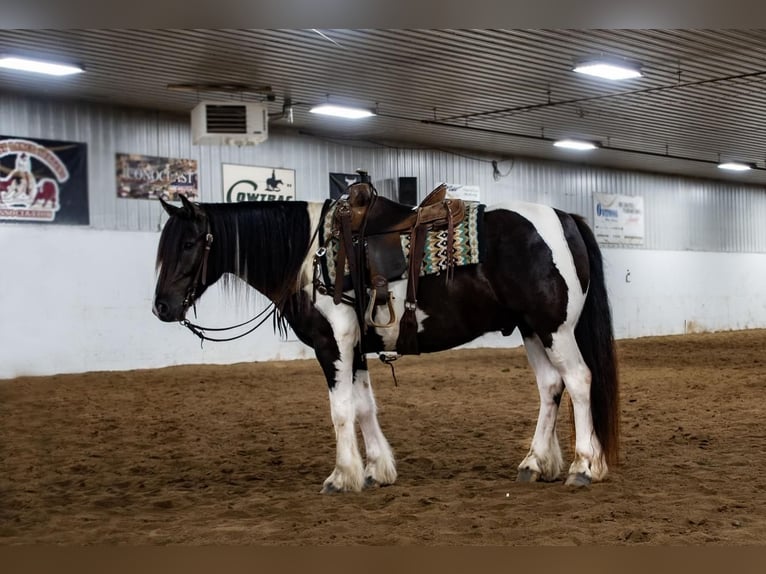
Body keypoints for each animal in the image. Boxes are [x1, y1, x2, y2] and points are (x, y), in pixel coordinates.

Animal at [153, 194, 620, 496]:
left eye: (189, 243)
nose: (162, 306)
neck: (312, 257)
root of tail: (564, 218)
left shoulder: (332, 345)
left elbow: (341, 410)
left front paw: (341, 477)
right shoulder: (356, 349)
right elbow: (364, 407)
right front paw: (376, 470)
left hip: (555, 329)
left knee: (579, 381)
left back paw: (583, 466)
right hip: (532, 330)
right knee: (550, 387)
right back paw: (535, 463)